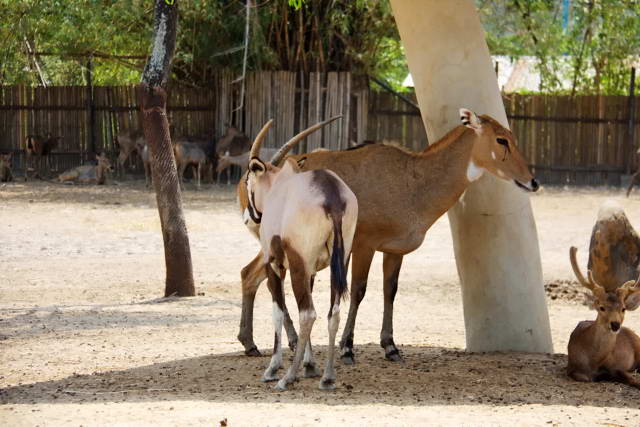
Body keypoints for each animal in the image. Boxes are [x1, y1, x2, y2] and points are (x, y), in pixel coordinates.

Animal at [235, 108, 540, 362]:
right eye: (501, 140)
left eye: (512, 137)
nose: (533, 181)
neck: (413, 180)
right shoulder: (364, 245)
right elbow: (358, 290)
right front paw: (347, 348)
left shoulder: (394, 250)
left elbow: (389, 291)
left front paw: (390, 346)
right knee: (266, 277)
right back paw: (288, 341)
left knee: (251, 275)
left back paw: (254, 343)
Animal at [245, 119, 358, 392]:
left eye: (247, 181)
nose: (248, 217)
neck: (280, 186)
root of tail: (332, 196)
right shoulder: (312, 270)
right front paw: (310, 365)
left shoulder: (274, 264)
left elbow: (278, 310)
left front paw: (272, 369)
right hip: (341, 260)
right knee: (332, 312)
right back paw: (327, 377)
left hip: (296, 264)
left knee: (308, 313)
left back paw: (287, 378)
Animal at [568, 246, 640, 390]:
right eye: (601, 307)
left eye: (623, 308)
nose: (615, 324)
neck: (592, 361)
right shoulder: (571, 367)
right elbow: (584, 377)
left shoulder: (615, 366)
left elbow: (630, 379)